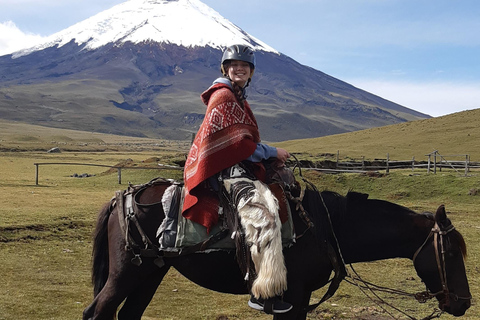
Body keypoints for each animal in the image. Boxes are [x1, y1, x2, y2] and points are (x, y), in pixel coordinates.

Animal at [82, 179, 468, 318]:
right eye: (450, 254)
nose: (464, 304)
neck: (327, 227)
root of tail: (122, 197)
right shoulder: (294, 296)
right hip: (126, 272)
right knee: (97, 312)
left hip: (151, 272)